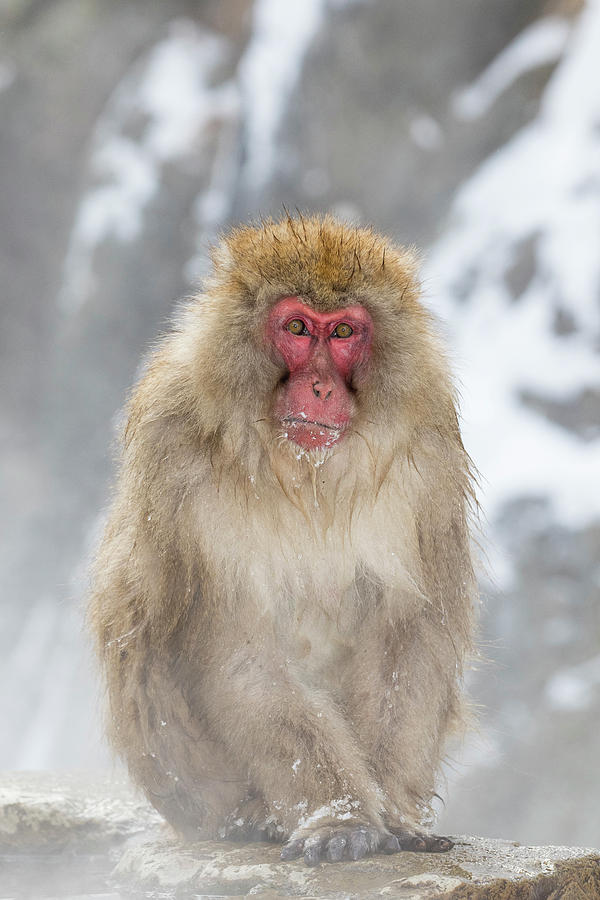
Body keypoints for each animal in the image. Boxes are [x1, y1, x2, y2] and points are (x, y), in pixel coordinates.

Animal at [88, 213, 478, 864]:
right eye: (296, 327)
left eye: (343, 331)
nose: (319, 385)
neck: (306, 475)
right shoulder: (175, 458)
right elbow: (241, 656)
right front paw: (339, 817)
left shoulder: (429, 458)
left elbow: (407, 637)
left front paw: (392, 814)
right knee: (135, 615)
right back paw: (248, 817)